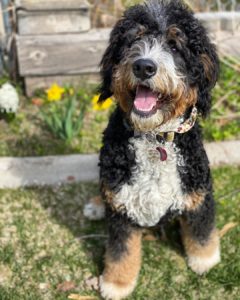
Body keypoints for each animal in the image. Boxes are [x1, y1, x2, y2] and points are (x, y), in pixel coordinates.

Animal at [85, 1, 220, 298]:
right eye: (133, 39)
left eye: (175, 45)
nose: (144, 66)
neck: (155, 138)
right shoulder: (121, 206)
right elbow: (121, 252)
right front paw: (116, 283)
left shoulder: (198, 193)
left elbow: (201, 231)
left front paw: (205, 259)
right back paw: (96, 204)